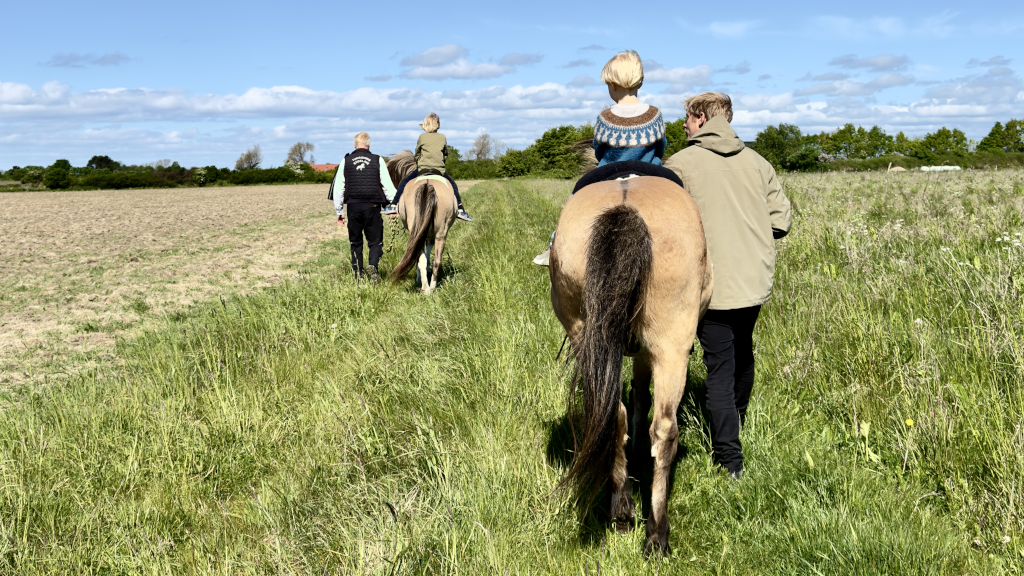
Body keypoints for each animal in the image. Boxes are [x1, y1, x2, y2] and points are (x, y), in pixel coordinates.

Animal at [385, 151, 458, 292]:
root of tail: (427, 183)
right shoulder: (428, 235)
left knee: (422, 259)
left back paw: (426, 287)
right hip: (441, 233)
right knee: (436, 261)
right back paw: (430, 288)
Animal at [550, 176, 713, 556]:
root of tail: (624, 206)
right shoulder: (645, 351)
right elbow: (641, 394)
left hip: (585, 336)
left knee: (614, 415)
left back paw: (622, 510)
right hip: (673, 344)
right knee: (665, 429)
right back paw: (657, 534)